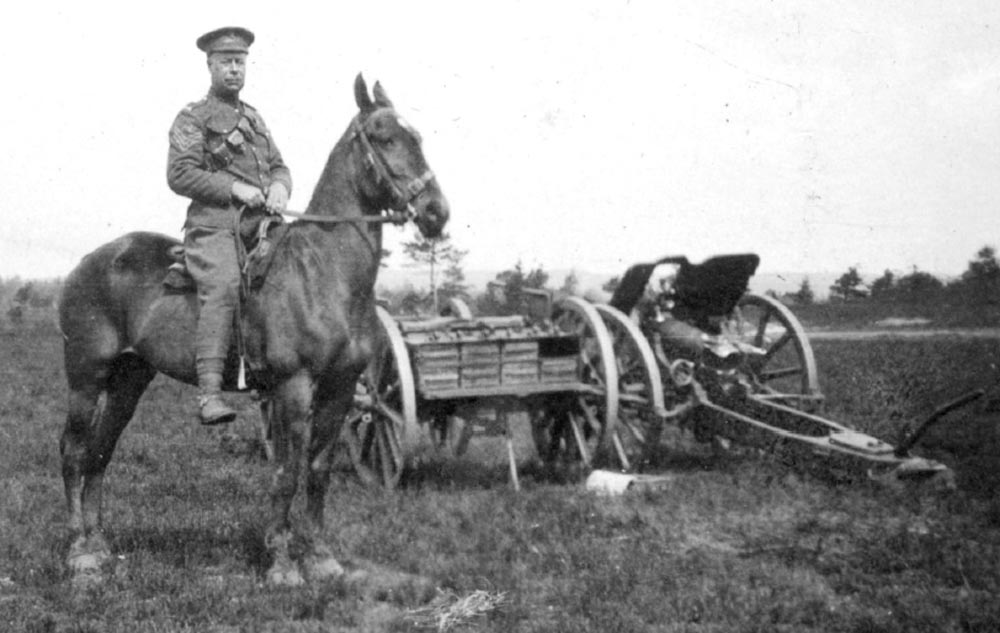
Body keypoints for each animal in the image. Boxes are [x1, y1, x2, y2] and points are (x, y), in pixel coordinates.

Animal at [58, 73, 450, 584]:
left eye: (417, 137)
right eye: (384, 137)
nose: (436, 213)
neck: (324, 274)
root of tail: (86, 264)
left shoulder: (340, 389)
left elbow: (318, 470)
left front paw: (320, 557)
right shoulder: (293, 388)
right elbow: (286, 474)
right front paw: (282, 563)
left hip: (129, 380)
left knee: (100, 452)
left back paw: (99, 545)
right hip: (86, 378)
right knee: (73, 451)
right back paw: (78, 552)